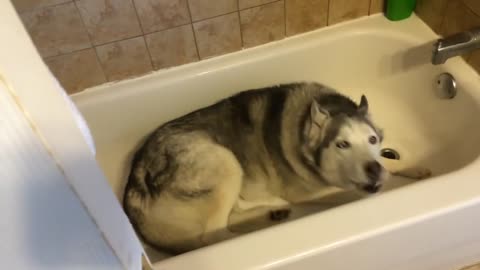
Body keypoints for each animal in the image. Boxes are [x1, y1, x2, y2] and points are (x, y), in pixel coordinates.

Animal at [124, 81, 424, 254]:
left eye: (372, 140)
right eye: (342, 145)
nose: (373, 170)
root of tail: (132, 192)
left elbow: (391, 163)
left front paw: (416, 167)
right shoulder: (308, 191)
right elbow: (346, 192)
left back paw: (272, 211)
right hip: (223, 160)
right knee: (213, 234)